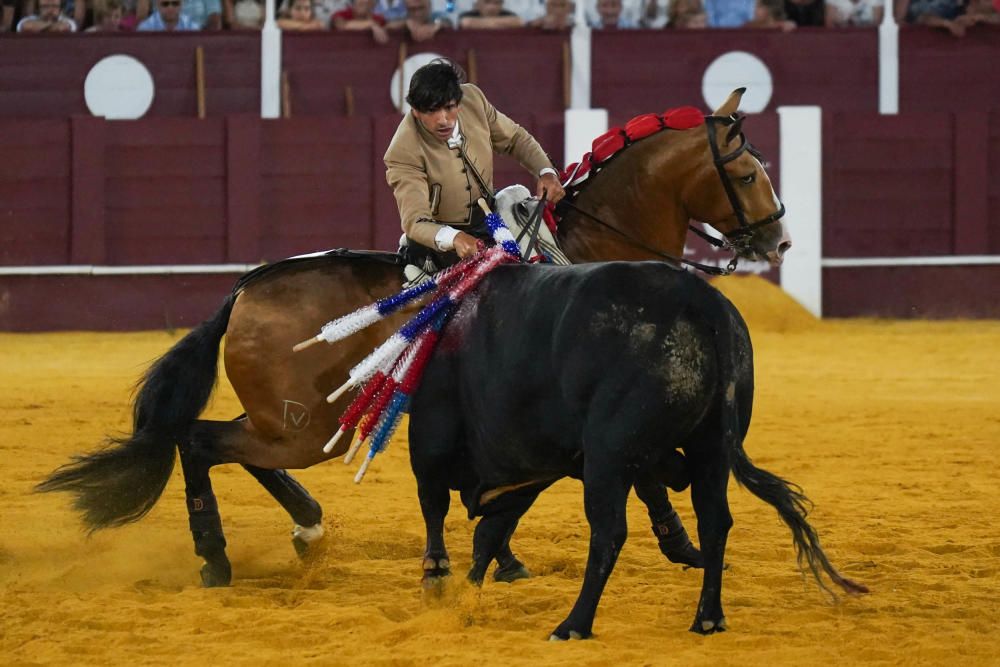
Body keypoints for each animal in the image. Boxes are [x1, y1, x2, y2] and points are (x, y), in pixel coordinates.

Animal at [37, 87, 788, 584]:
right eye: (747, 171)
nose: (779, 239)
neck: (584, 251)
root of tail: (245, 289)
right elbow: (643, 477)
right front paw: (682, 545)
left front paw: (504, 556)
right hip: (302, 424)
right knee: (199, 441)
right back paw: (217, 556)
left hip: (300, 419)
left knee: (224, 444)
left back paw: (306, 527)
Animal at [408, 258, 868, 640]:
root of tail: (699, 299)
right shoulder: (528, 469)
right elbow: (489, 532)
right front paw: (465, 596)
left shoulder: (435, 438)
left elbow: (439, 507)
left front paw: (439, 580)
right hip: (712, 448)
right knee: (714, 521)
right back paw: (707, 618)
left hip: (607, 458)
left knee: (609, 532)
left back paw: (573, 625)